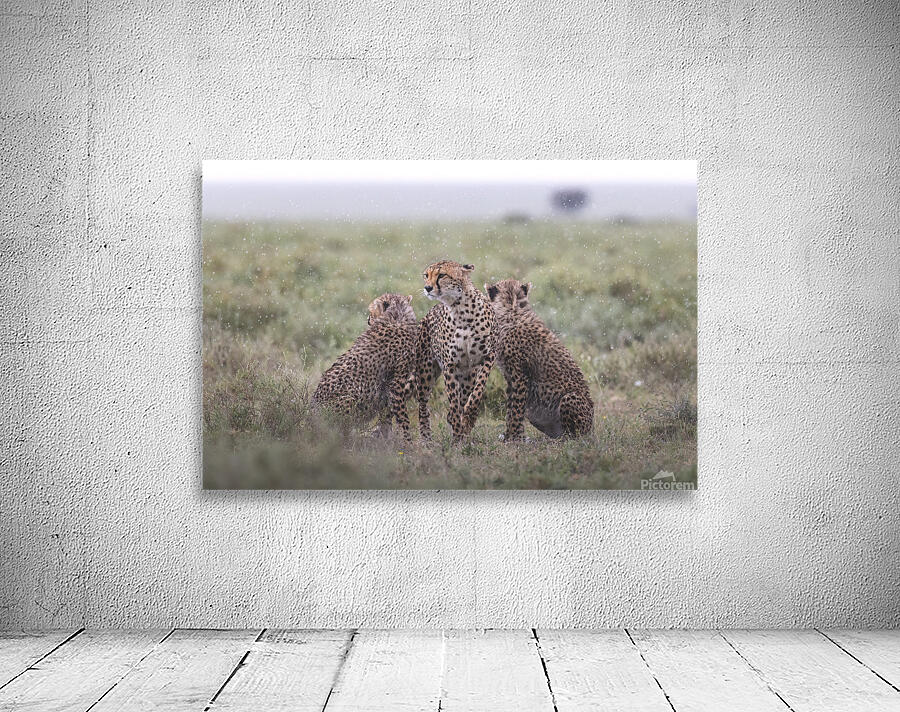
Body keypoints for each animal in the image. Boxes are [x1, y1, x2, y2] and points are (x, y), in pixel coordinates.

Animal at [312, 293, 418, 440]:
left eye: (372, 311)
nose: (368, 319)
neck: (396, 316)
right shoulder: (395, 386)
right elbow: (403, 418)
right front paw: (407, 441)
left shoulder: (389, 388)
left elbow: (386, 417)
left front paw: (385, 439)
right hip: (349, 400)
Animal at [416, 261, 496, 442]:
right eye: (426, 275)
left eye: (441, 275)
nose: (427, 288)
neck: (460, 309)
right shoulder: (450, 365)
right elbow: (453, 402)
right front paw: (458, 433)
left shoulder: (488, 357)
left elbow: (477, 392)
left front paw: (468, 419)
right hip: (425, 373)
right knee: (423, 404)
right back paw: (426, 437)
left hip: (468, 375)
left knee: (465, 395)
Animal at [483, 278, 594, 441]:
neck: (511, 309)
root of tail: (592, 429)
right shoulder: (510, 377)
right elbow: (511, 408)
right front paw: (511, 435)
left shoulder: (520, 375)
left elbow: (516, 408)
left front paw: (514, 437)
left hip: (570, 398)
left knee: (574, 435)